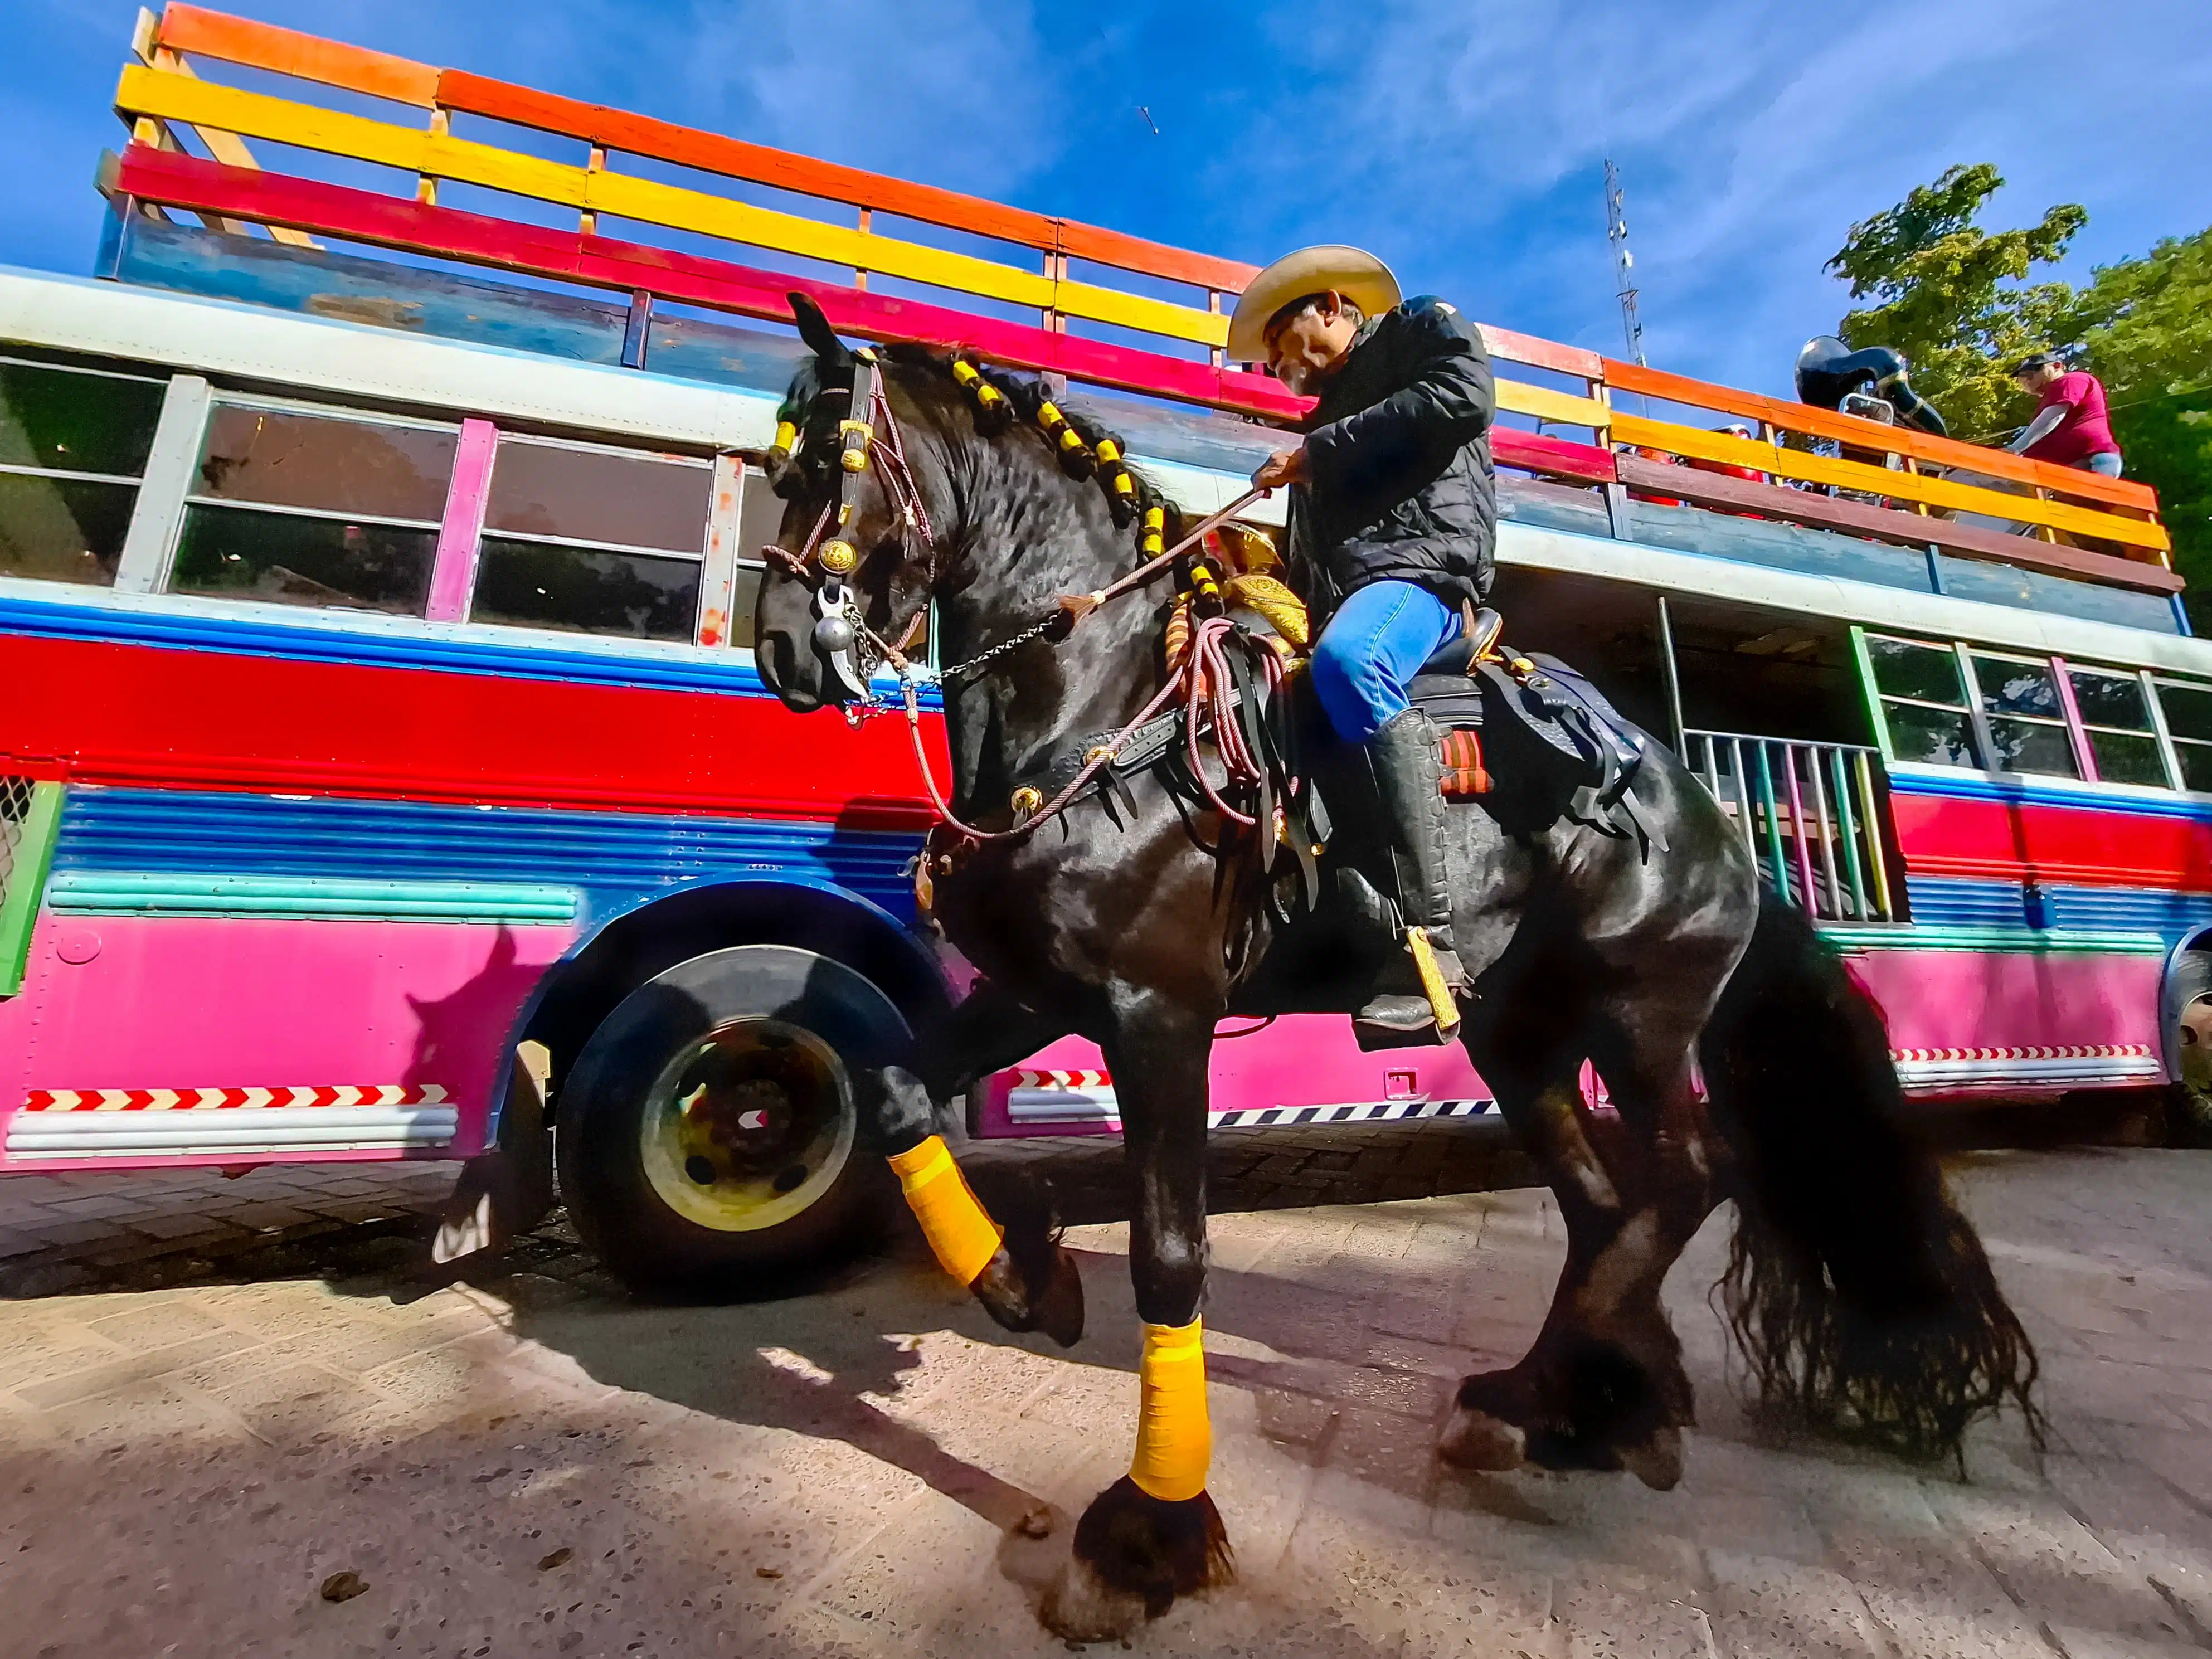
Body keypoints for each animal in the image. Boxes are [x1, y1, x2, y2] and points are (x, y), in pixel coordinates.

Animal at [756, 305, 2035, 1646]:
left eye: (825, 458)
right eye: (772, 465)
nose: (781, 646)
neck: (1104, 709)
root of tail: (1709, 812)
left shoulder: (1160, 1016)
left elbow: (1171, 1253)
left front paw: (1146, 1528)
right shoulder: (1034, 995)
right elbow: (894, 1092)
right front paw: (1022, 1277)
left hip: (1641, 1013)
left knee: (1684, 1178)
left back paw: (1580, 1400)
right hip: (1520, 1034)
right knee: (1603, 1203)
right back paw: (1569, 1400)